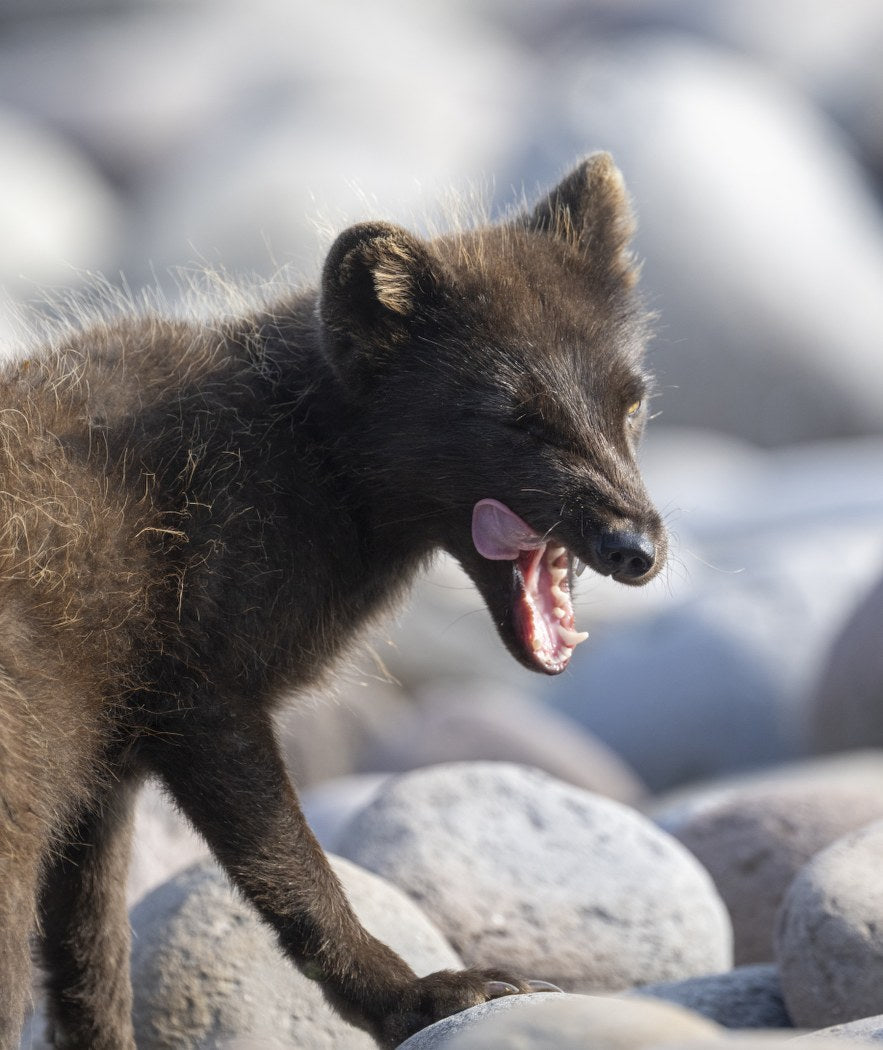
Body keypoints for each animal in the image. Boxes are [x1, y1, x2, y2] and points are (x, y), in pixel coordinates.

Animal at [0, 153, 665, 1048]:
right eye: (517, 419)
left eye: (630, 403)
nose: (639, 549)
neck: (298, 449)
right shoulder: (205, 703)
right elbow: (296, 880)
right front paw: (418, 998)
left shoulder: (103, 775)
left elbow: (90, 969)